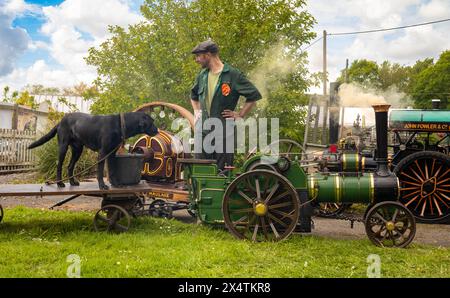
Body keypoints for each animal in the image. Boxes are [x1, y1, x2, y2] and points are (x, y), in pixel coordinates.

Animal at [28, 110, 158, 190]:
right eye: (152, 122)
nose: (157, 131)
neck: (119, 125)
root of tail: (61, 121)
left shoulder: (111, 154)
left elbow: (112, 170)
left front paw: (116, 184)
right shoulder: (102, 153)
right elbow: (100, 172)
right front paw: (102, 186)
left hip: (77, 150)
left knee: (70, 166)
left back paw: (72, 182)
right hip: (63, 147)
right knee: (59, 165)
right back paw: (60, 183)